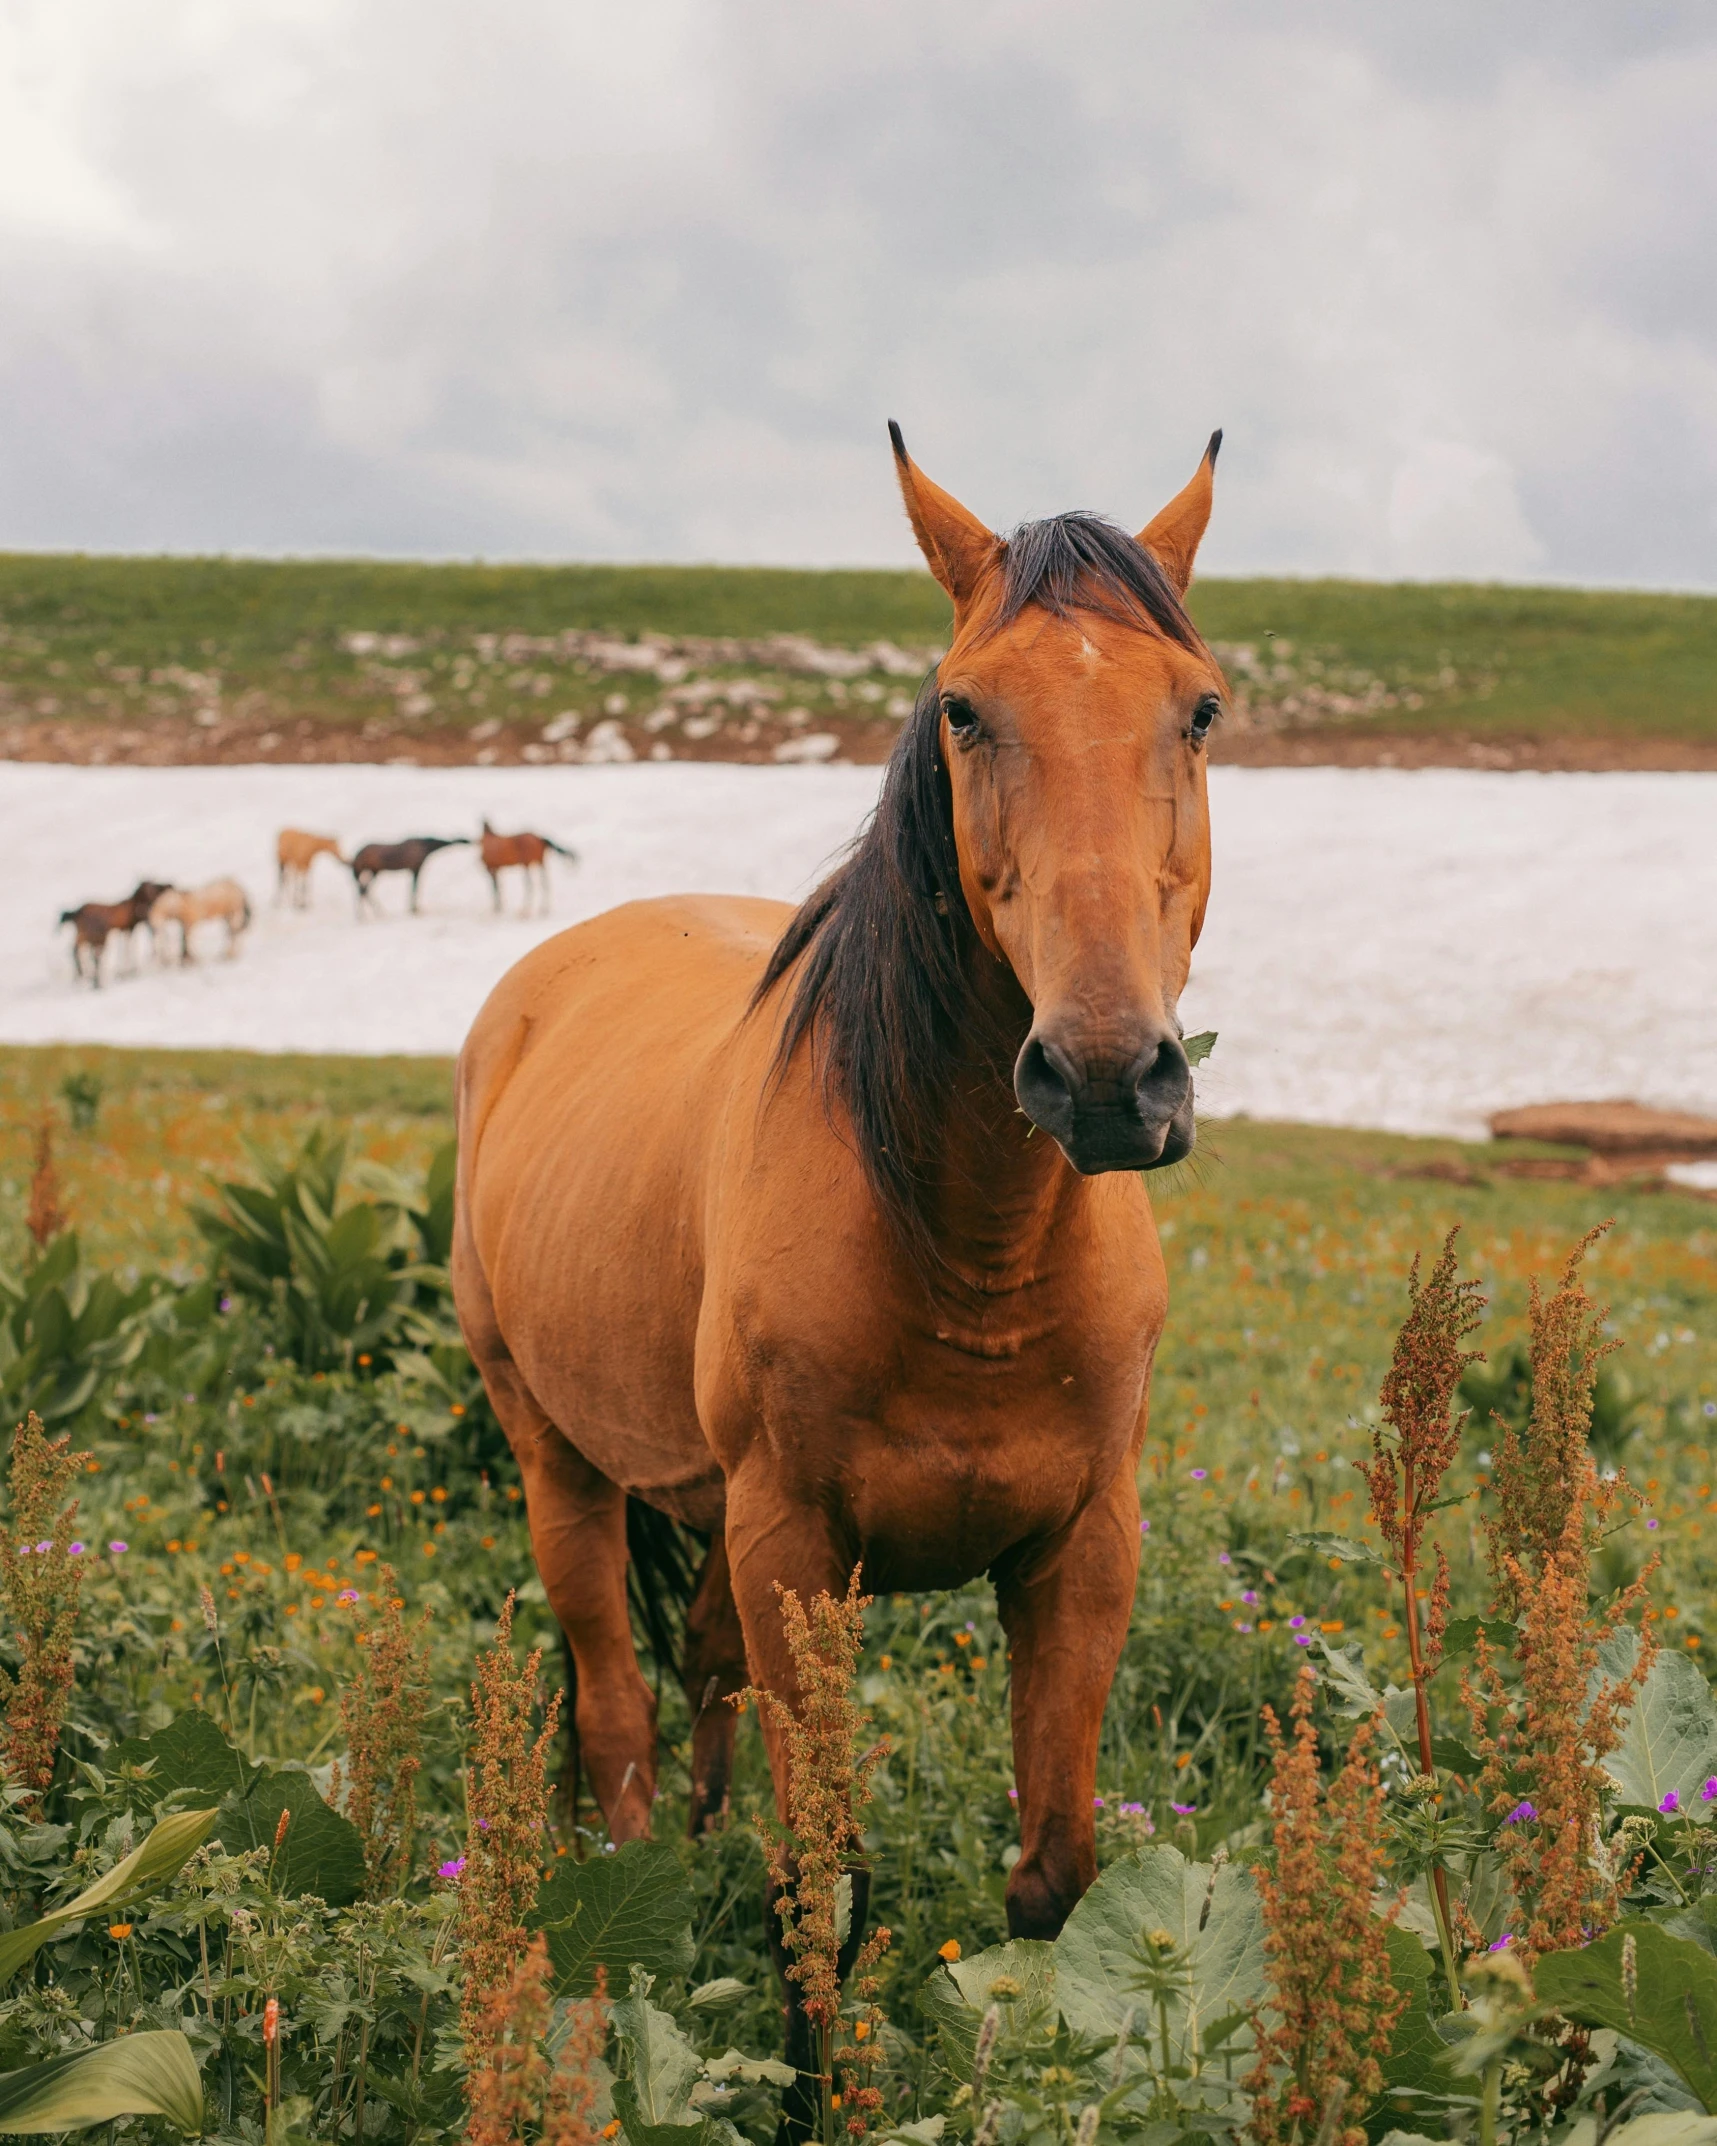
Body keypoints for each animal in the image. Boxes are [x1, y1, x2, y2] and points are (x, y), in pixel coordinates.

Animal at [452, 427, 1219, 2017]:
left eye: (1200, 709)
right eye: (966, 710)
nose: (1106, 1077)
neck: (971, 1260)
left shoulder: (1084, 1547)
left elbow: (1053, 1877)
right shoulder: (793, 1541)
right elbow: (824, 1893)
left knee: (694, 1681)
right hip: (558, 1460)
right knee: (616, 1718)